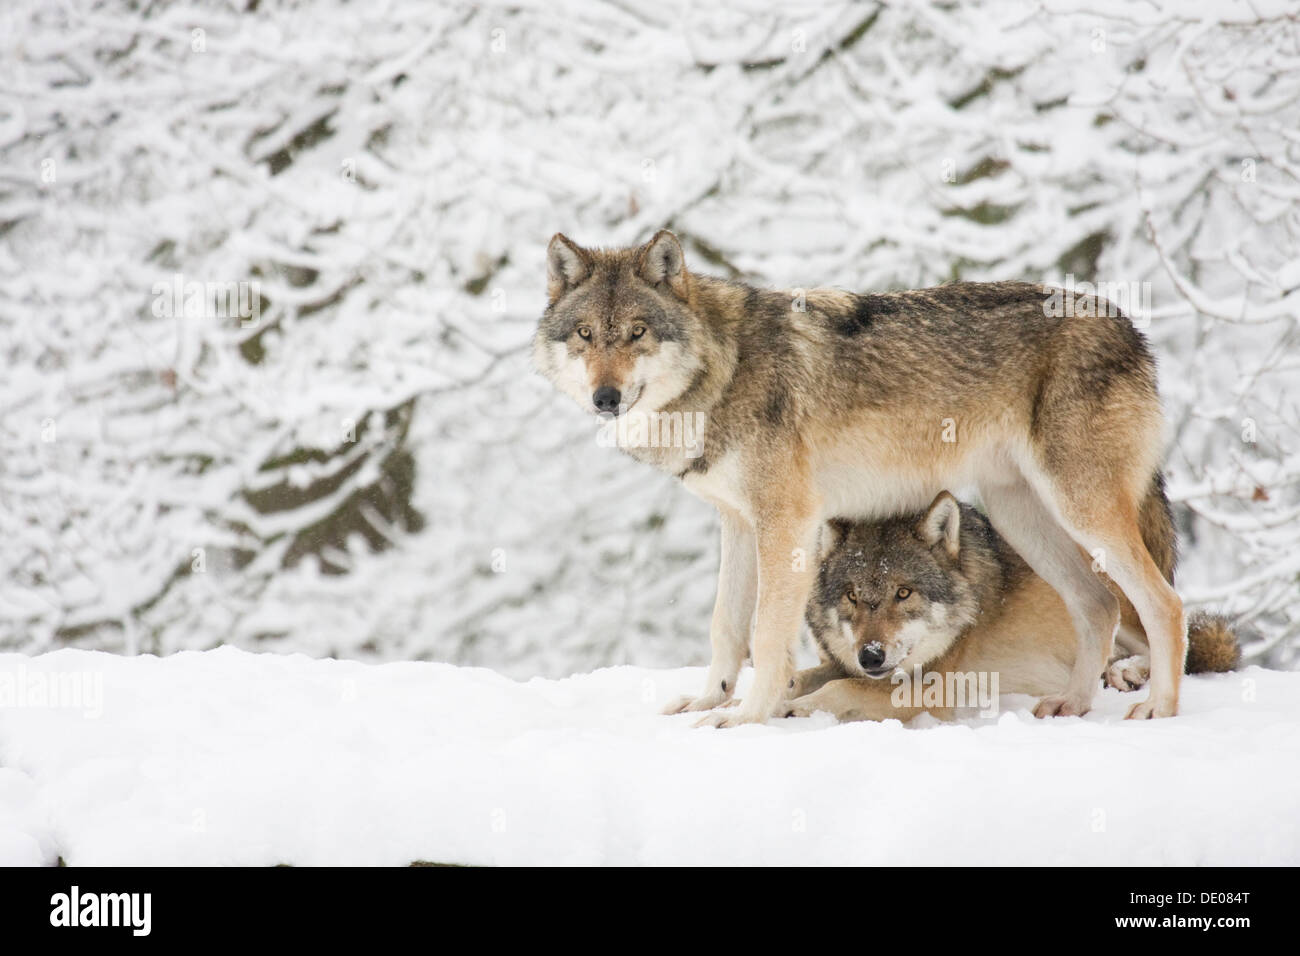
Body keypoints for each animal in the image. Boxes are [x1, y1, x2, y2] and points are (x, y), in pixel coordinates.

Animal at [785, 494, 1232, 723]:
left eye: (904, 593)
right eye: (852, 596)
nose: (871, 655)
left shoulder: (927, 691)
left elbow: (839, 688)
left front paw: (793, 708)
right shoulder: (846, 665)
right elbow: (806, 677)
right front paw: (781, 694)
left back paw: (1128, 675)